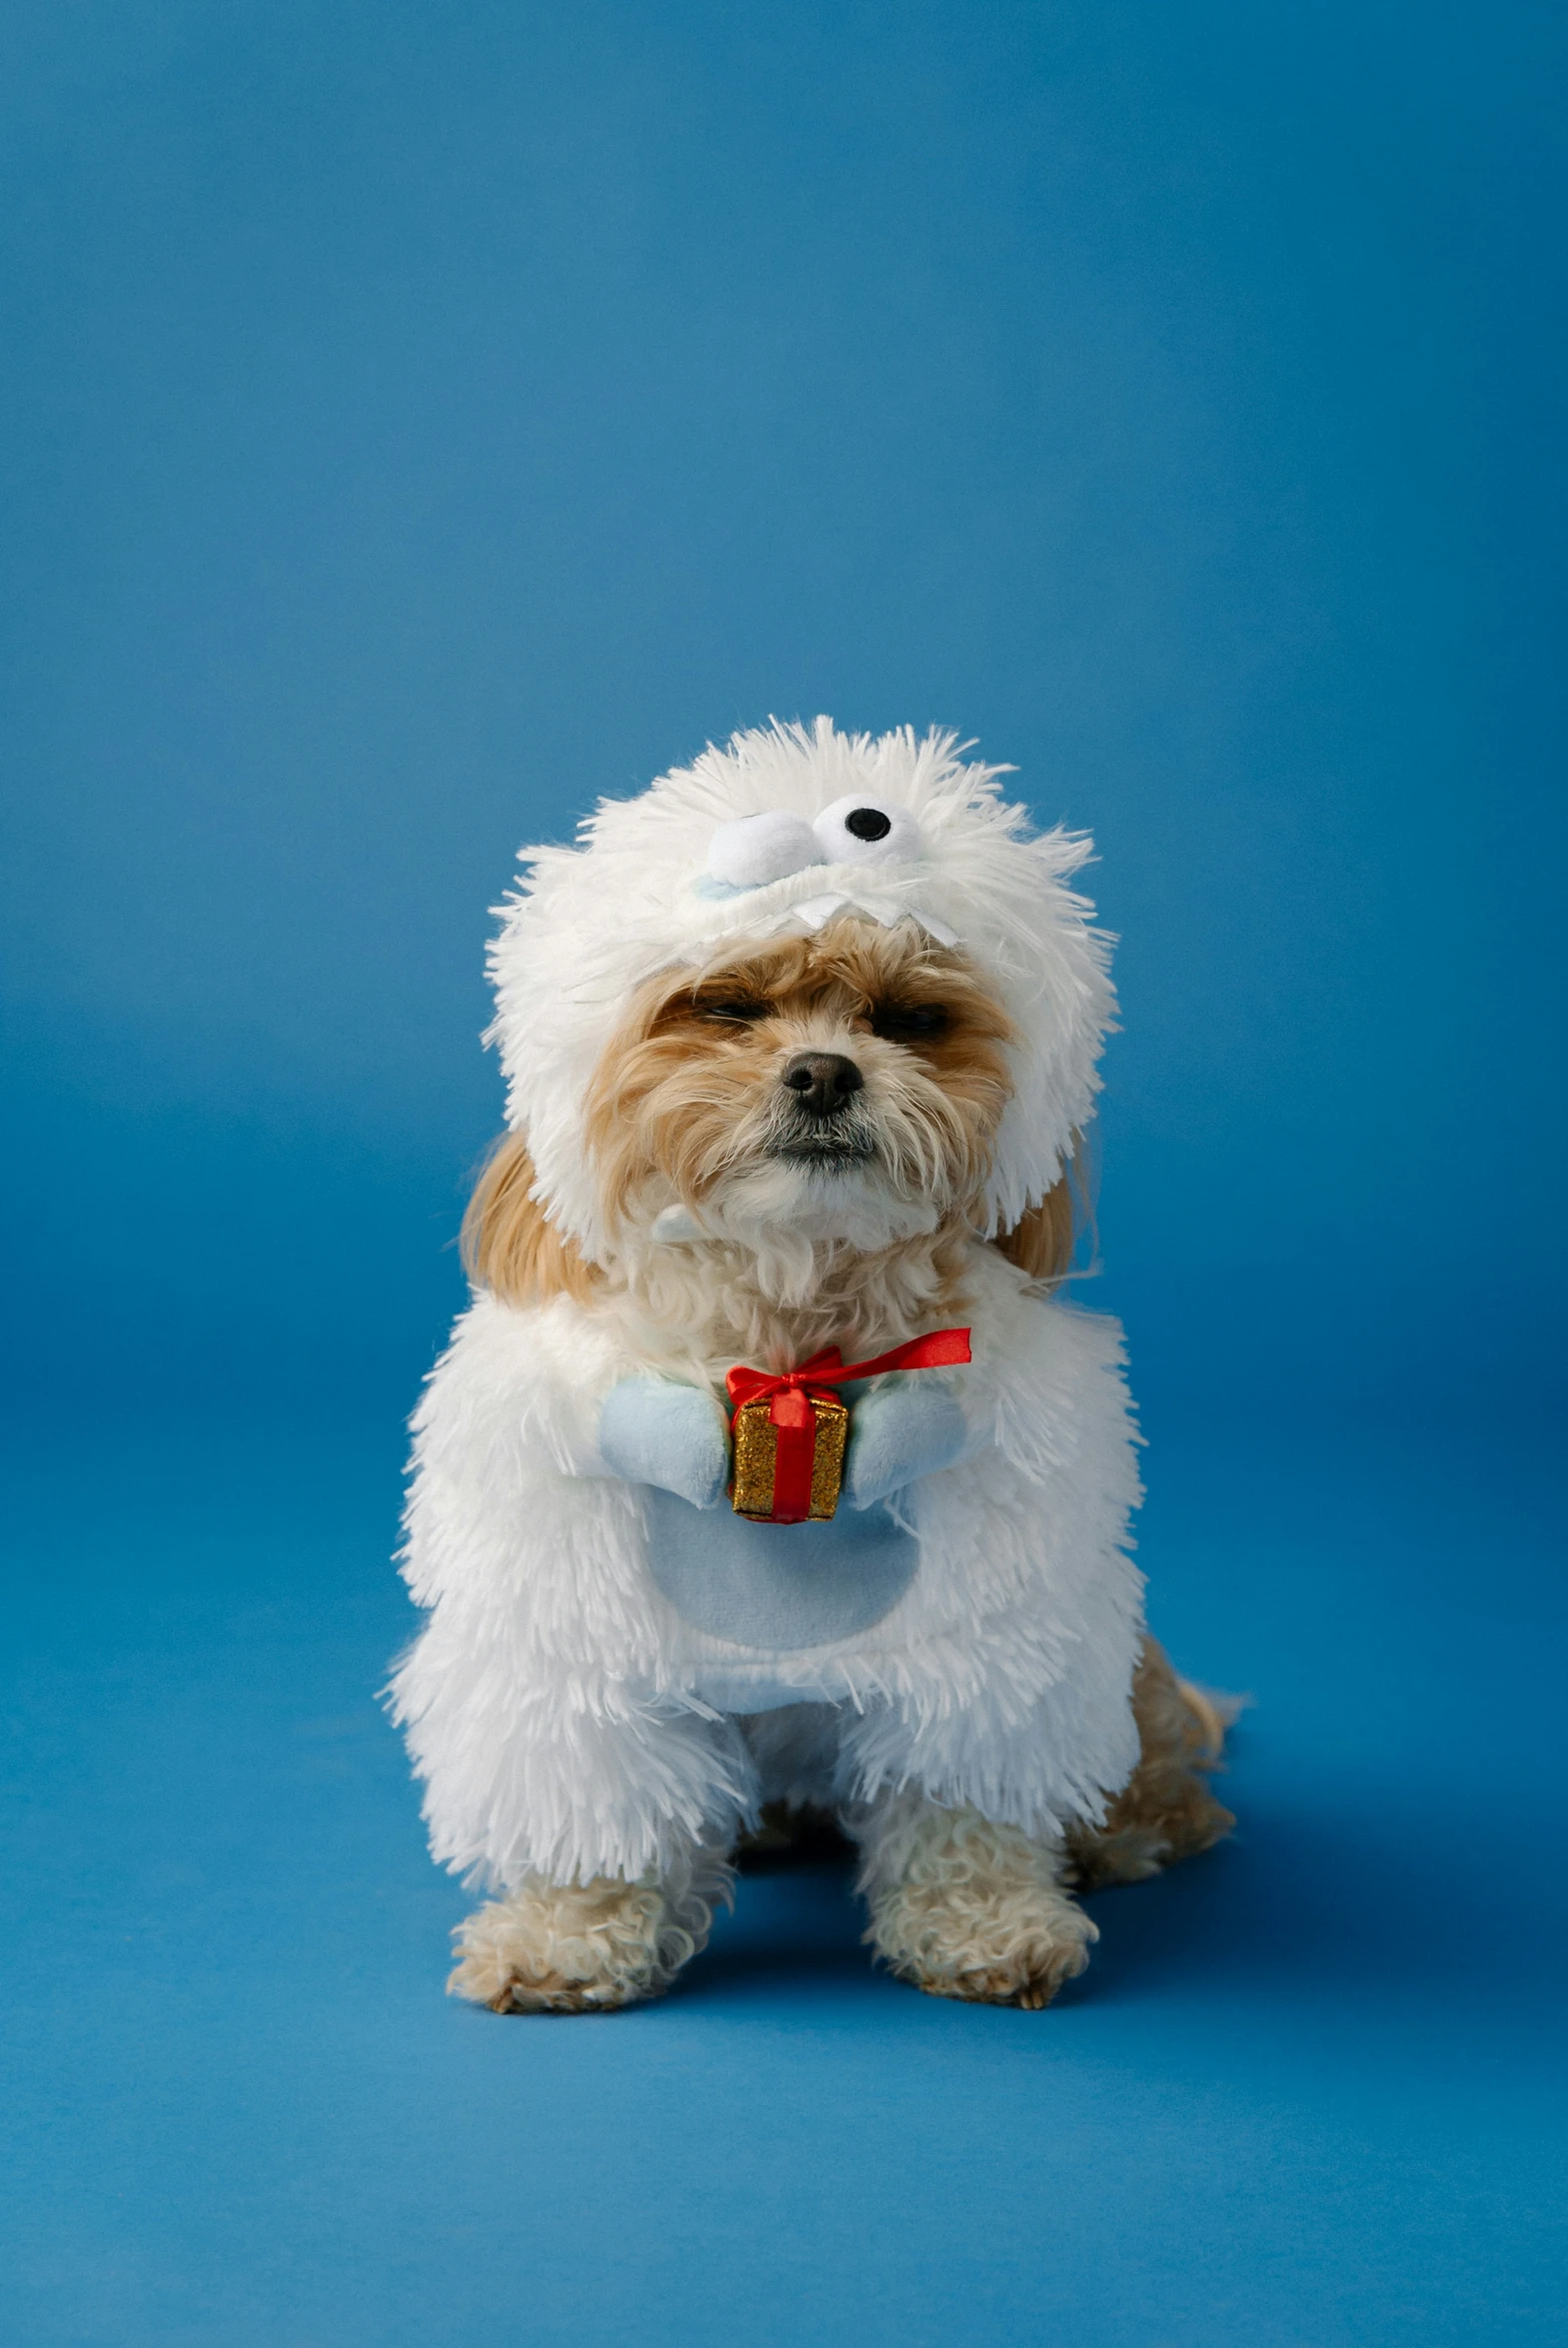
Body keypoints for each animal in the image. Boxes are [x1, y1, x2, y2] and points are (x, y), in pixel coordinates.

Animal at [389, 723, 1220, 2009]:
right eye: (726, 1006)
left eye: (910, 1019)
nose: (825, 1071)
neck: (788, 1357)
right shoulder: (584, 1652)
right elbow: (598, 1816)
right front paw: (571, 1937)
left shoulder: (984, 1642)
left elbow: (965, 1801)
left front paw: (985, 1925)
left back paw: (1125, 1827)